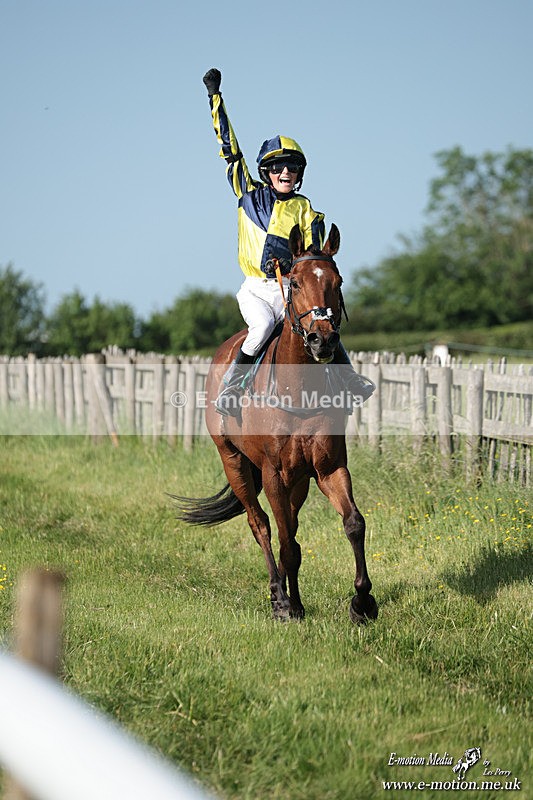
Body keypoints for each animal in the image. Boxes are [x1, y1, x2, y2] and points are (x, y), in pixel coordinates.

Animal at [174, 223, 378, 624]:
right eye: (295, 283)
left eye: (338, 281)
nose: (322, 339)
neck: (298, 392)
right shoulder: (272, 472)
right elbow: (284, 539)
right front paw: (287, 603)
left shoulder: (329, 467)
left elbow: (353, 523)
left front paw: (362, 602)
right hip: (235, 461)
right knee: (262, 525)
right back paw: (278, 593)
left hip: (298, 481)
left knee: (291, 525)